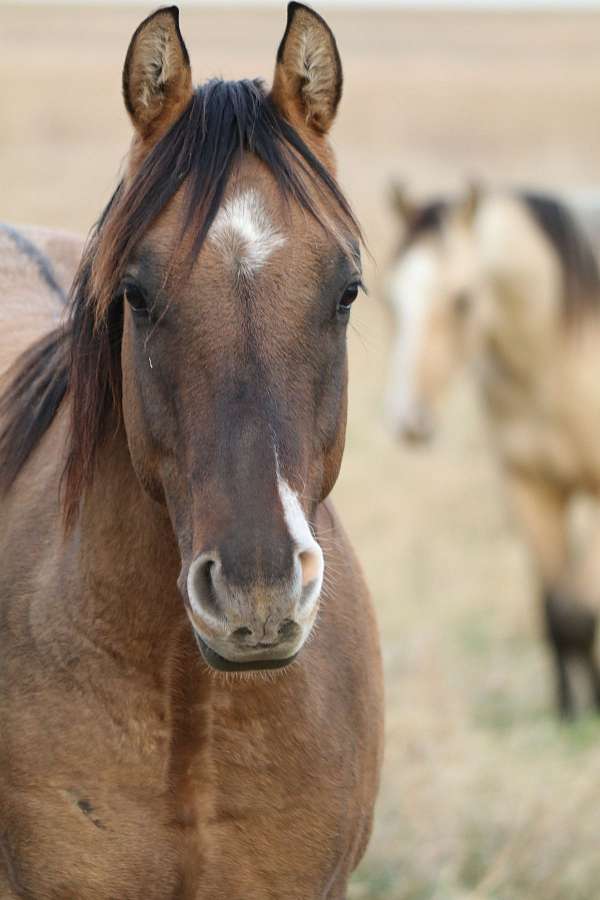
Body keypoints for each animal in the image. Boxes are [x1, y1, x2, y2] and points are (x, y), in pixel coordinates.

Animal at [384, 181, 600, 718]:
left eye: (463, 300)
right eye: (391, 300)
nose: (408, 420)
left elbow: (580, 608)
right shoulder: (528, 486)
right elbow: (557, 608)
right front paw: (568, 709)